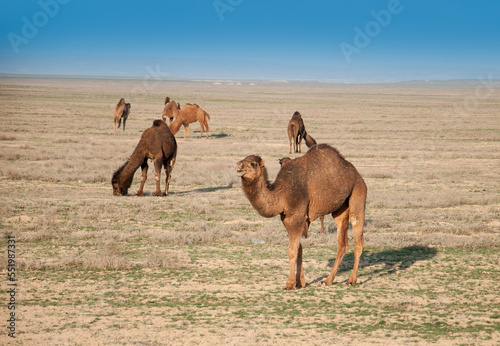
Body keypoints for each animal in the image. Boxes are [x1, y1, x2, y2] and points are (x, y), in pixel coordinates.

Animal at [238, 143, 368, 290]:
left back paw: (352, 280)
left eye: (253, 163)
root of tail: (357, 175)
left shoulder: (297, 216)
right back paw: (328, 280)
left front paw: (290, 284)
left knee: (358, 237)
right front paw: (300, 282)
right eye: (244, 159)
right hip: (340, 209)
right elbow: (299, 249)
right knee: (343, 243)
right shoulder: (288, 219)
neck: (281, 194)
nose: (238, 165)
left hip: (358, 193)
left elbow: (292, 250)